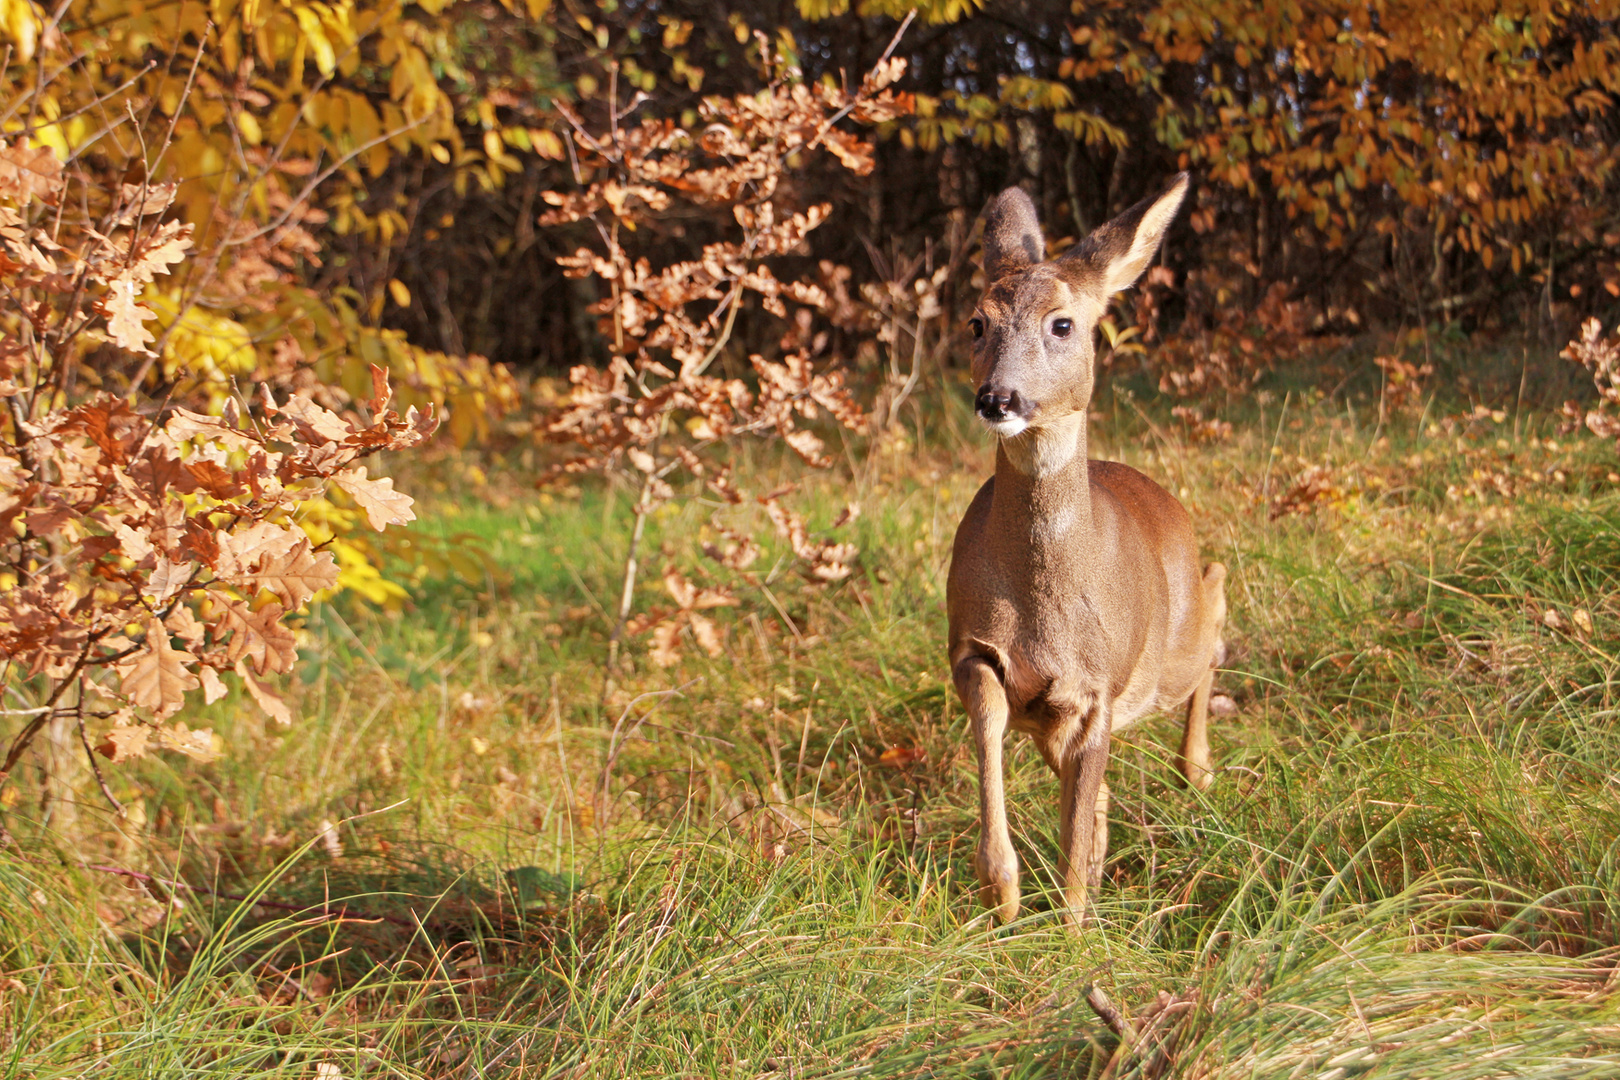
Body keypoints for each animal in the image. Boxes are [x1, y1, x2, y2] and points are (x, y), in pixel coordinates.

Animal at [946, 173, 1218, 926]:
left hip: (1180, 637)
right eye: (976, 323)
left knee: (1217, 619)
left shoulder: (1100, 685)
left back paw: (1197, 769)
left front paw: (1072, 932)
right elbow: (994, 734)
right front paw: (1003, 892)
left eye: (1062, 323)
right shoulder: (971, 647)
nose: (998, 397)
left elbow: (1073, 832)